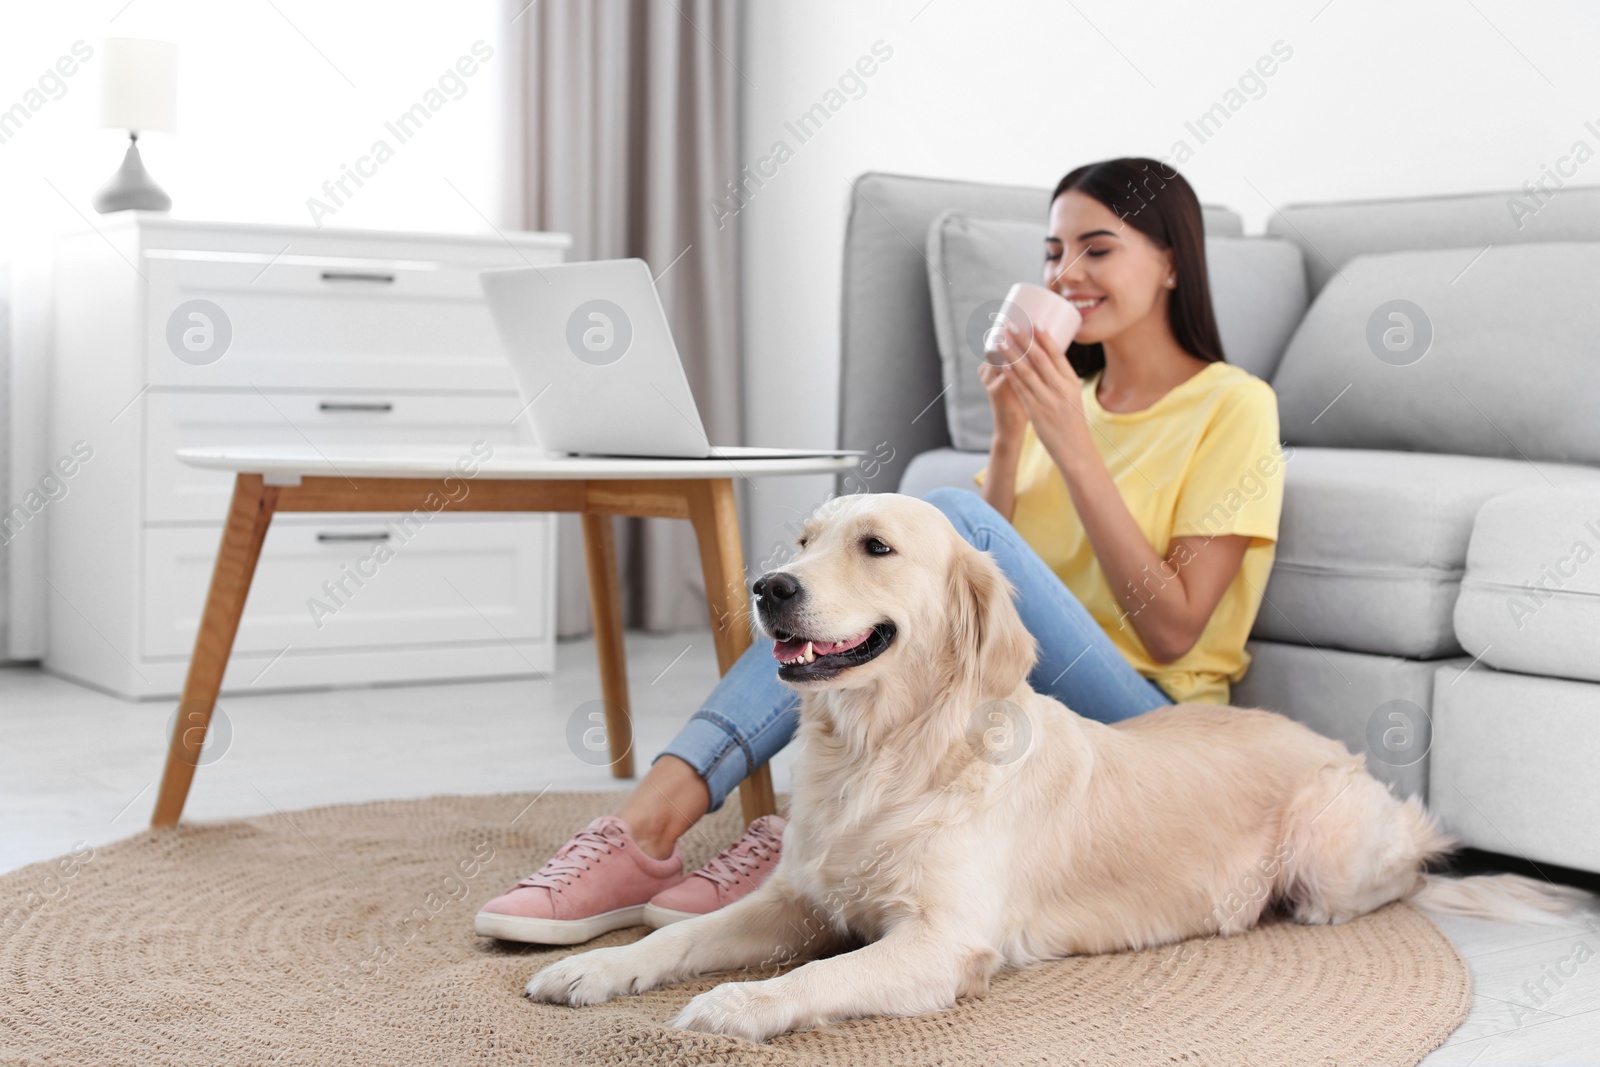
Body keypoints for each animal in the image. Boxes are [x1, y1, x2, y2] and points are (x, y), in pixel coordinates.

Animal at [524, 495, 1587, 1043]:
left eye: (876, 545)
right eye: (803, 539)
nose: (766, 587)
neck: (888, 751)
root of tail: (1336, 748)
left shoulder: (940, 943)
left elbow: (816, 978)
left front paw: (736, 1004)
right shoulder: (801, 897)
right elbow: (676, 937)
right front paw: (596, 966)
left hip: (1330, 855)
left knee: (1401, 874)